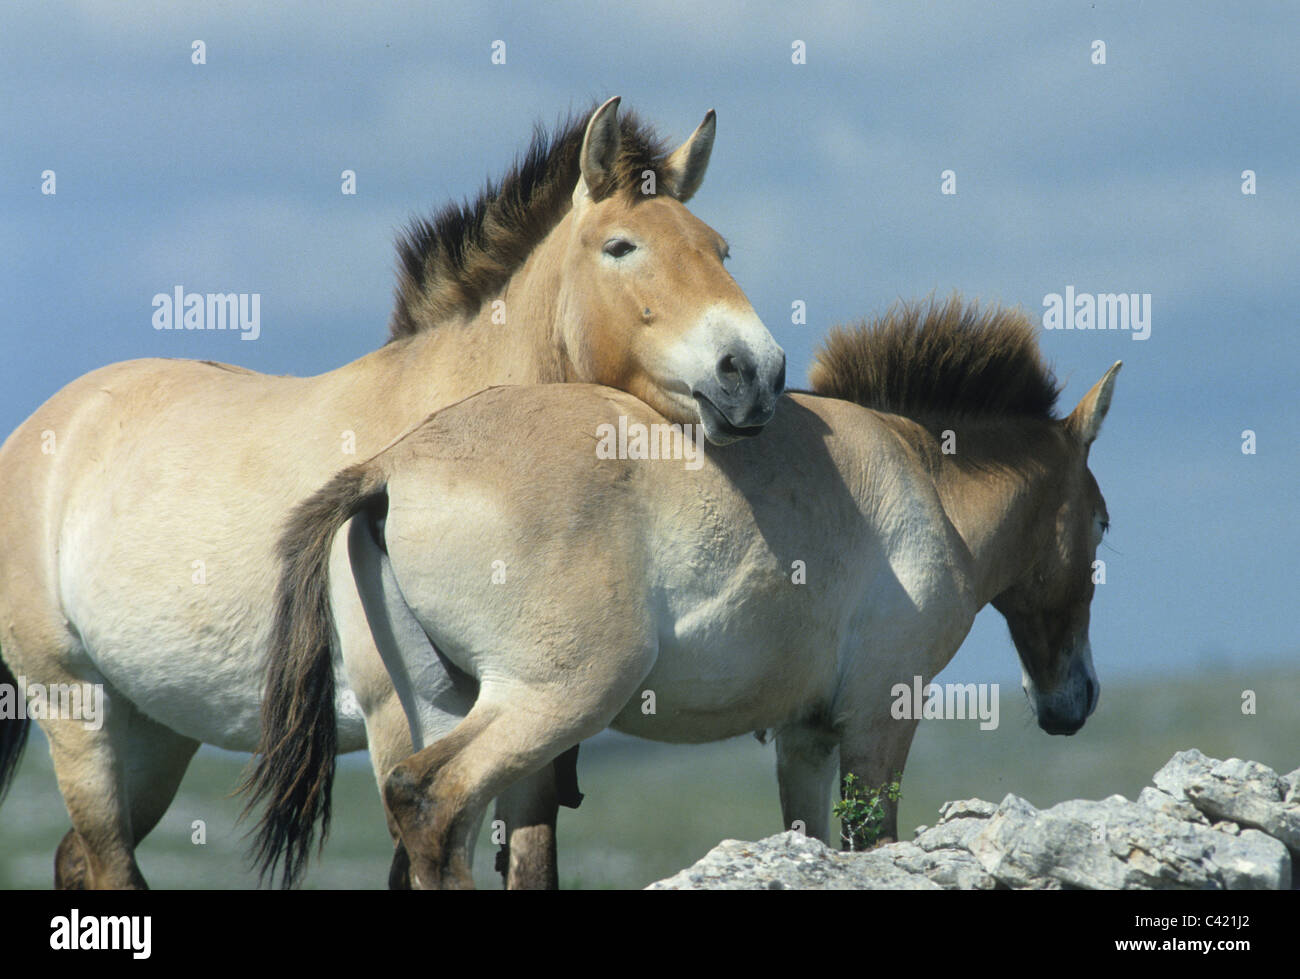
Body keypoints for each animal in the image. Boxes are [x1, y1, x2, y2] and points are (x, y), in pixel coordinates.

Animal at [0, 97, 780, 884]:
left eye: (720, 250)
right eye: (621, 246)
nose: (754, 371)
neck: (445, 435)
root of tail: (41, 429)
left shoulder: (531, 720)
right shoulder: (403, 717)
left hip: (157, 728)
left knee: (79, 855)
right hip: (79, 709)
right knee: (106, 853)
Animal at [248, 297, 1123, 884]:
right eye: (1103, 521)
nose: (1075, 700)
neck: (923, 478)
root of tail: (391, 468)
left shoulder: (806, 735)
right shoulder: (882, 715)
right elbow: (871, 840)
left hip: (432, 710)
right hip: (552, 699)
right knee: (432, 798)